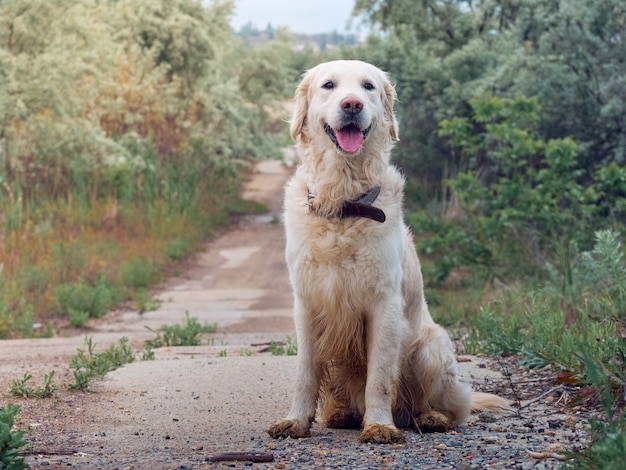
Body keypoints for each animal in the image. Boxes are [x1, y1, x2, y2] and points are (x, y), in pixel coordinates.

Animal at [268, 59, 508, 444]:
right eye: (329, 85)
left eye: (368, 87)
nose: (352, 104)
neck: (344, 204)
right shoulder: (306, 303)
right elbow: (305, 373)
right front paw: (296, 421)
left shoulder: (384, 304)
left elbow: (379, 377)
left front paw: (380, 424)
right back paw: (342, 414)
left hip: (430, 348)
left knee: (451, 409)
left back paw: (430, 417)